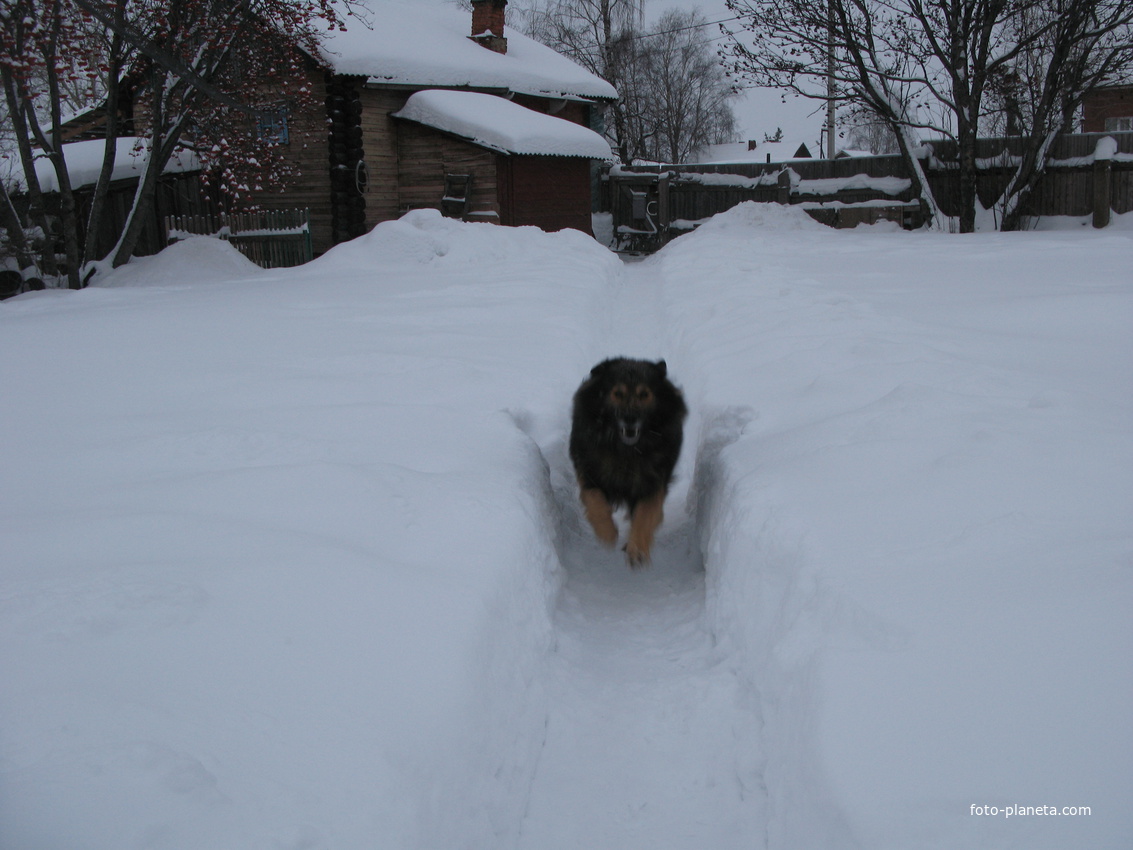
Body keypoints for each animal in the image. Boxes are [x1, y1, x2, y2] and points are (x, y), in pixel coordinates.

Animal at [571, 355, 684, 568]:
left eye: (644, 394)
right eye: (618, 393)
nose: (630, 418)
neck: (626, 451)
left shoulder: (653, 482)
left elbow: (645, 514)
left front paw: (637, 550)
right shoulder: (588, 471)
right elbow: (595, 499)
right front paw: (606, 532)